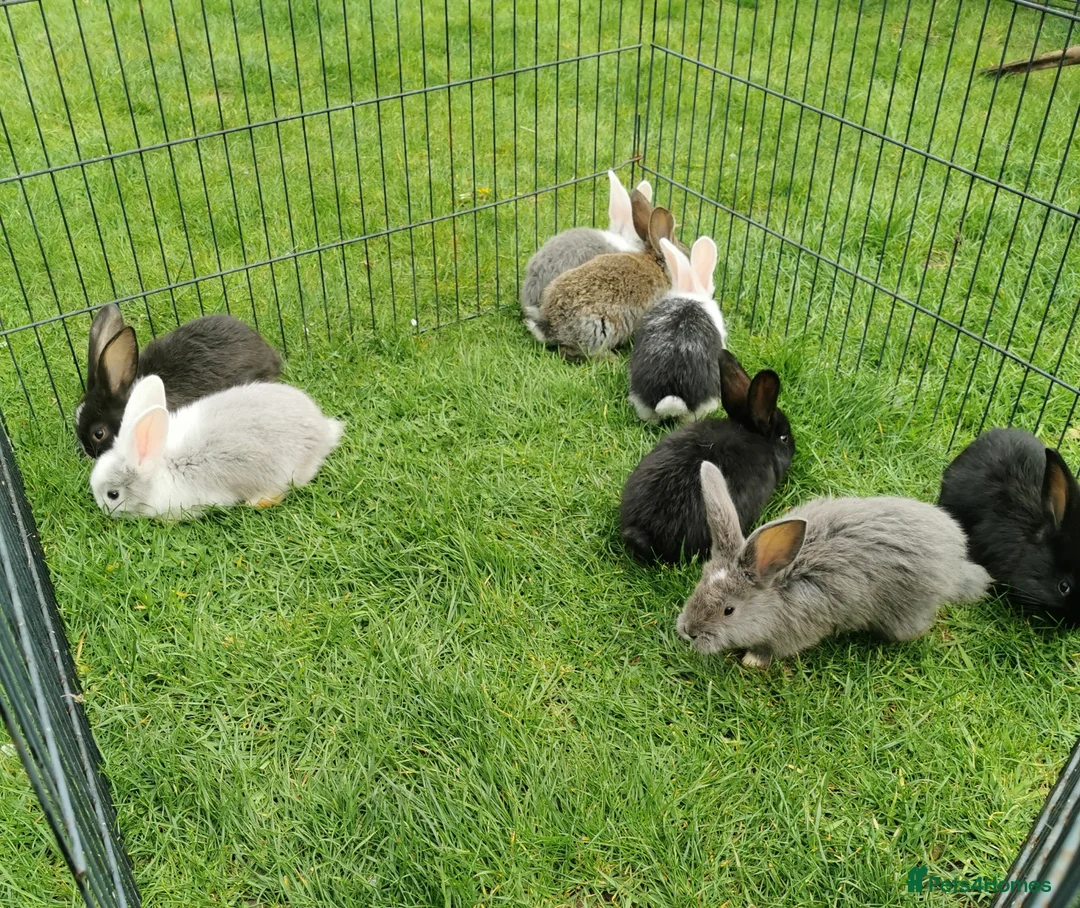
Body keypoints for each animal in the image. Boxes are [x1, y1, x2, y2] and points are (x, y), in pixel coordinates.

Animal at [676, 462, 993, 669]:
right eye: (698, 585)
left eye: (729, 610)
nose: (689, 631)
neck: (779, 588)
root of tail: (953, 563)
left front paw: (753, 660)